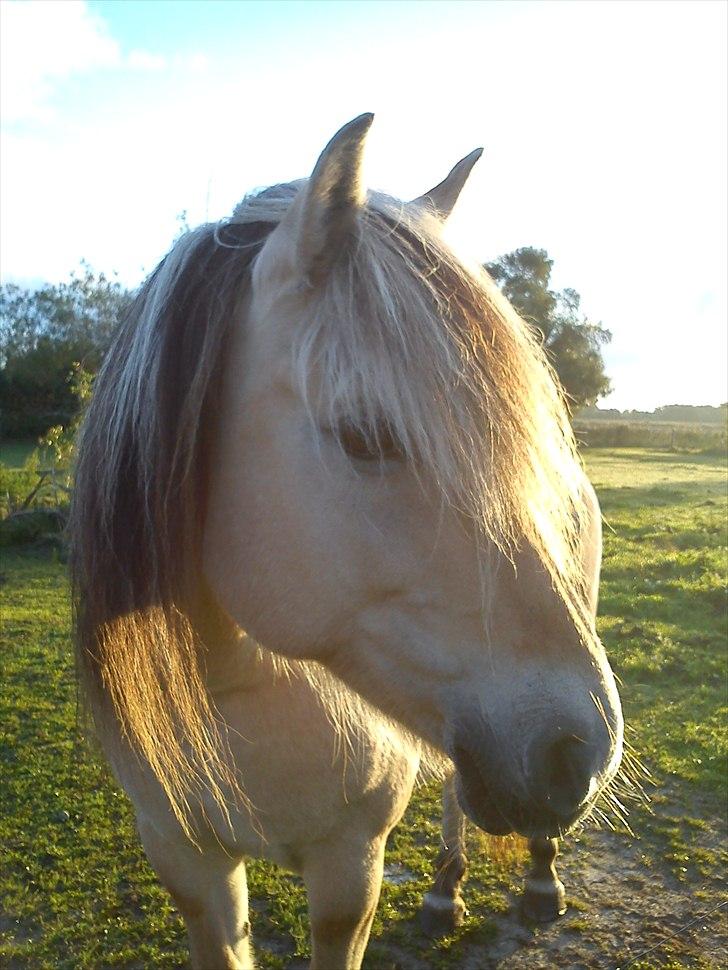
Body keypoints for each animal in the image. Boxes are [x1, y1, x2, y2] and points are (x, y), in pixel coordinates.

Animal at [71, 115, 624, 968]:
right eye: (365, 437)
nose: (579, 753)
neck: (243, 696)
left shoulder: (350, 870)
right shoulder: (186, 861)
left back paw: (524, 883)